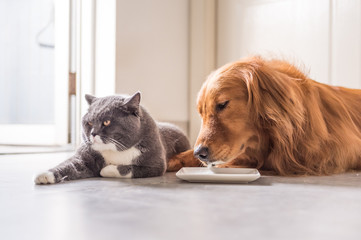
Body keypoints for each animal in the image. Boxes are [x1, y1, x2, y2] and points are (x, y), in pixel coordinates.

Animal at [34, 92, 190, 184]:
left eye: (107, 122)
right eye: (89, 123)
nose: (93, 133)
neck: (114, 150)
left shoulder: (155, 165)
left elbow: (130, 169)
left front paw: (106, 170)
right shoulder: (84, 157)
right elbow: (69, 164)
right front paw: (45, 174)